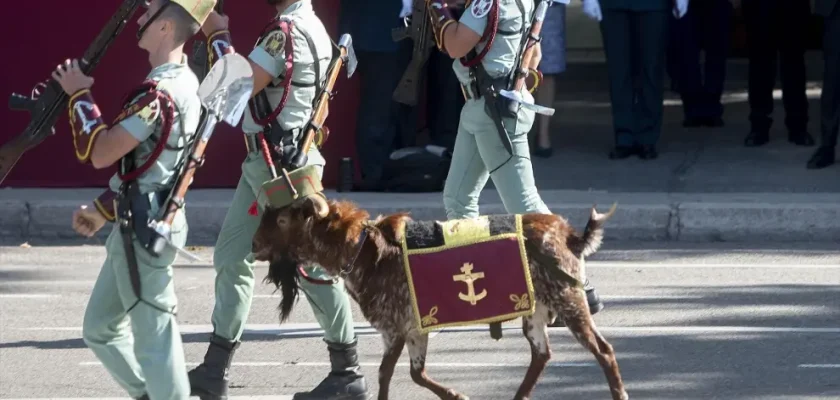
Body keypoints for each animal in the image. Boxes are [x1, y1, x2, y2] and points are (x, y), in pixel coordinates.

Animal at [253, 195, 628, 400]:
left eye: (283, 219)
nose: (254, 244)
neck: (362, 250)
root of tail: (572, 237)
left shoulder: (396, 326)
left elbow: (386, 373)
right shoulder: (415, 328)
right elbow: (415, 373)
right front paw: (456, 394)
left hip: (568, 299)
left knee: (603, 349)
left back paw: (619, 392)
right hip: (535, 309)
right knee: (542, 354)